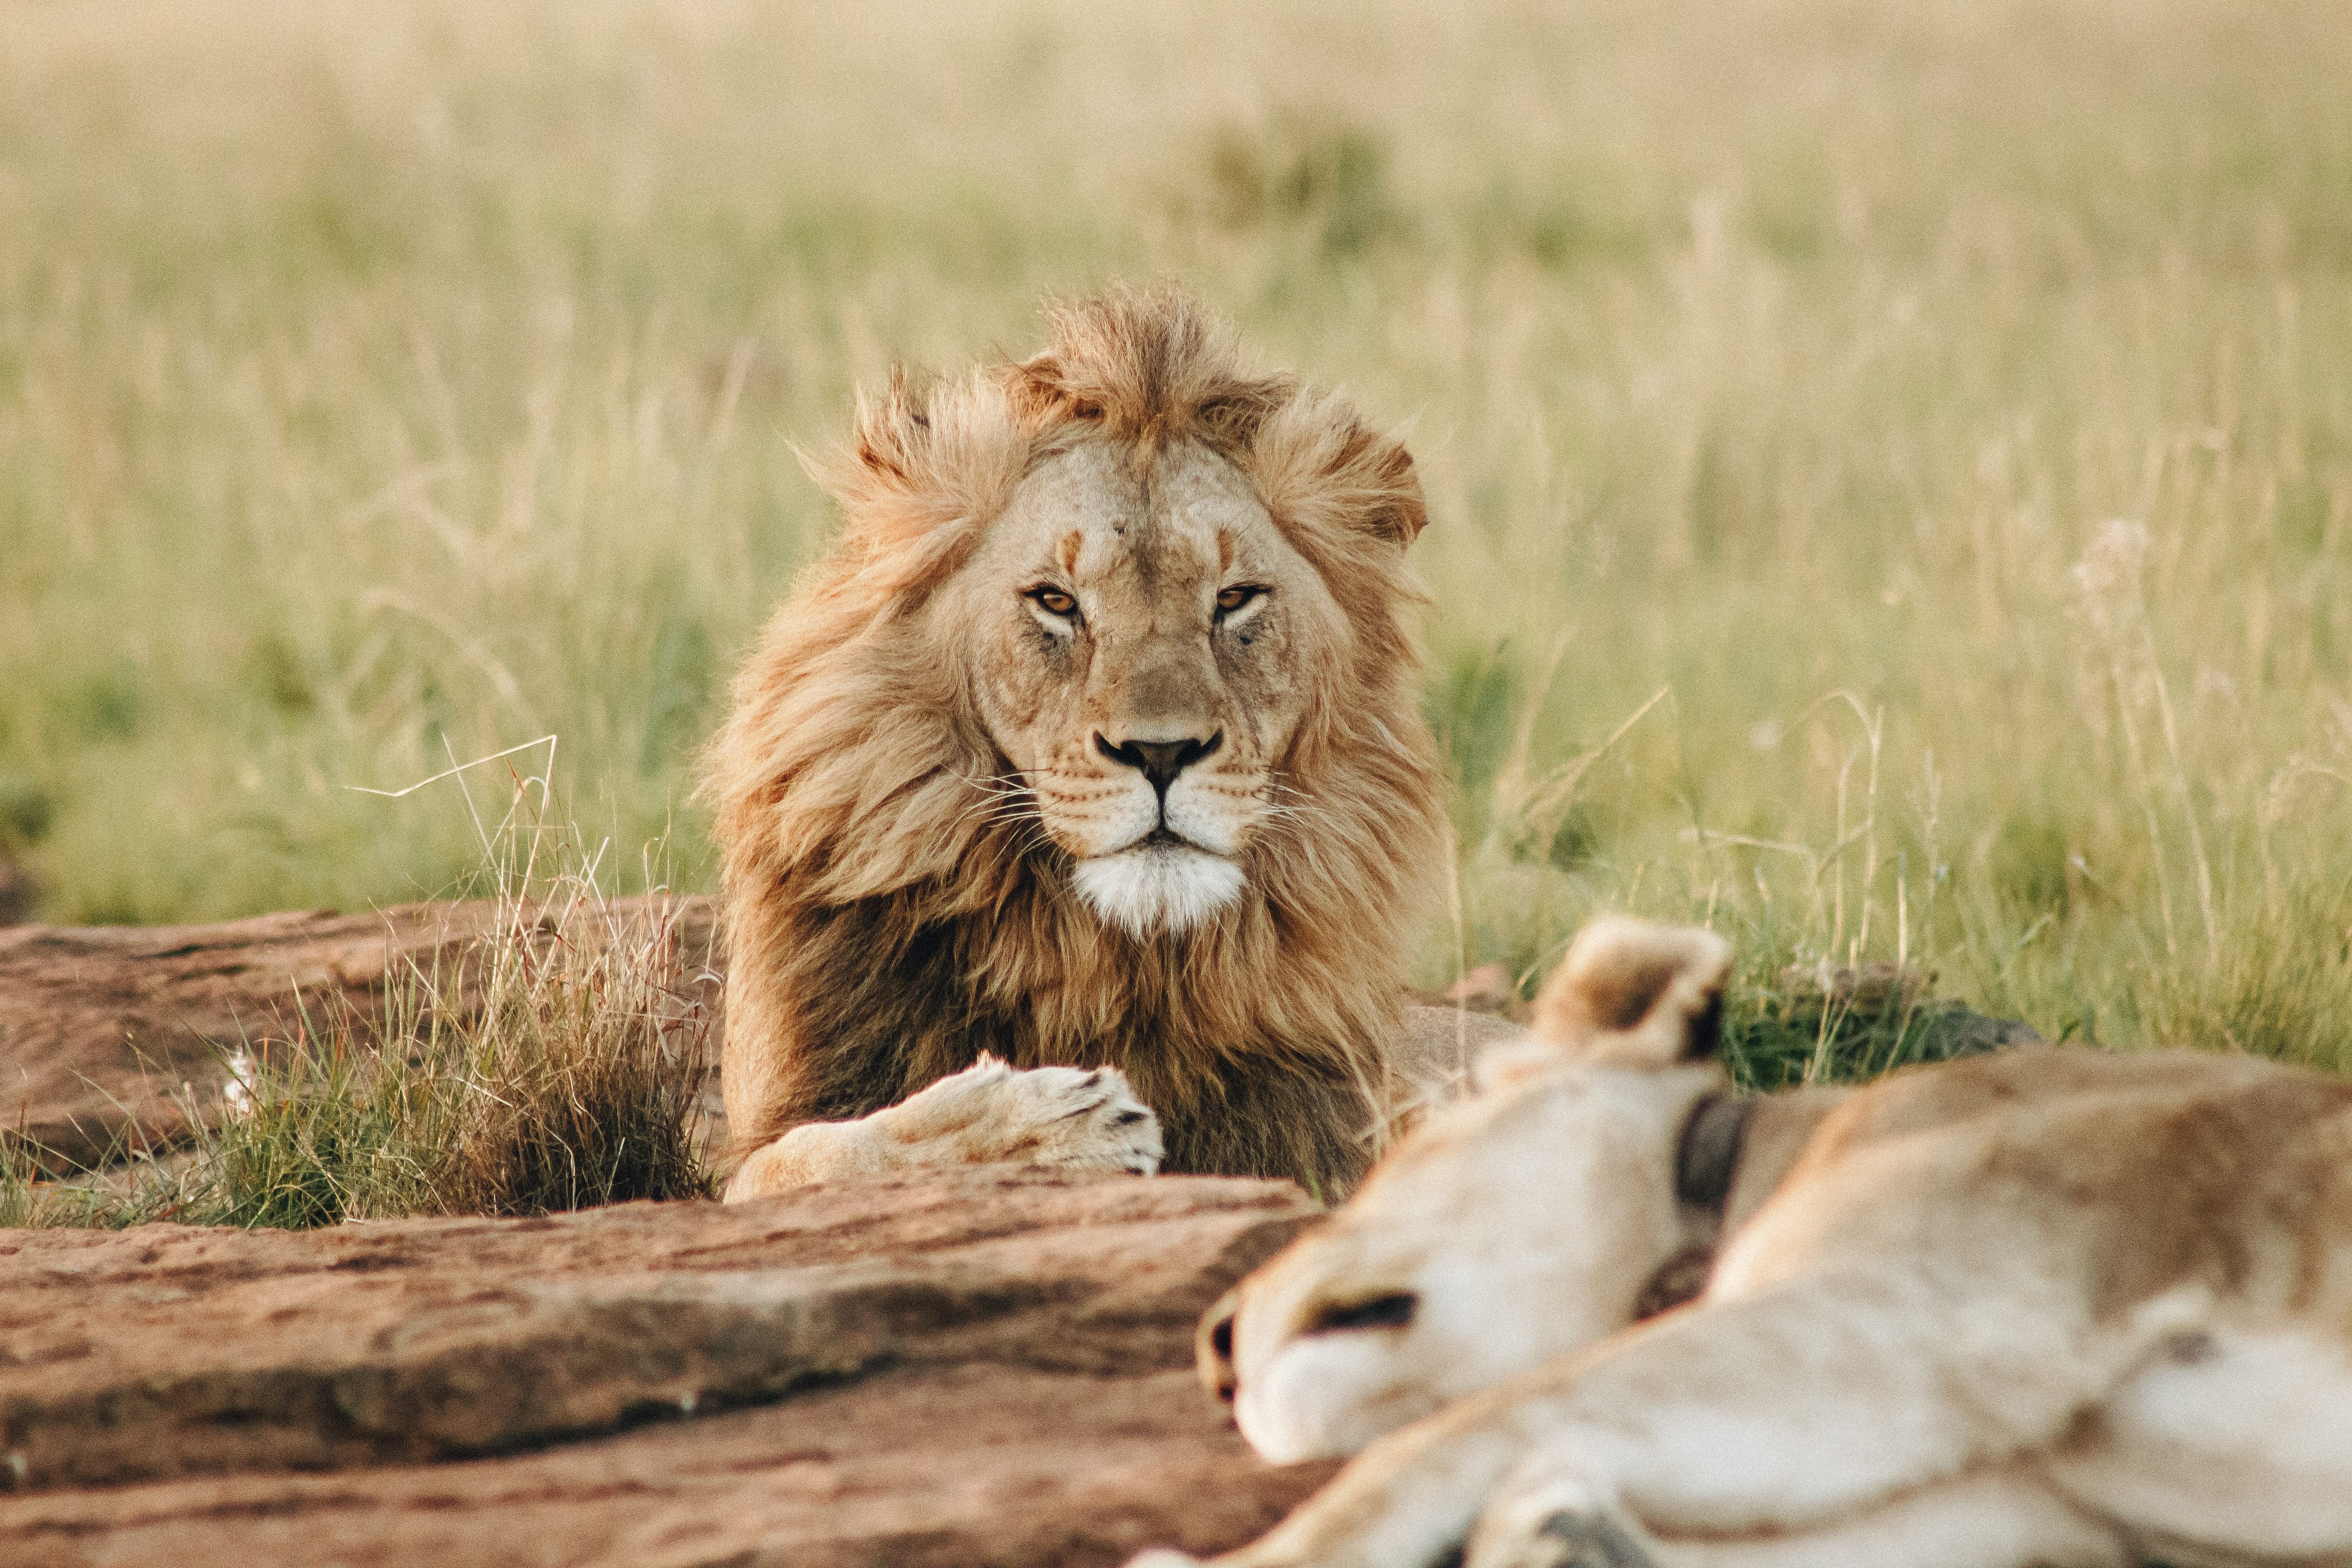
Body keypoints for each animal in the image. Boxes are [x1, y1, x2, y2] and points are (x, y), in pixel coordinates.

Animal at [706, 288, 1496, 1194]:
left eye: (1234, 599)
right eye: (1056, 601)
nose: (1160, 754)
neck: (1109, 965)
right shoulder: (764, 1140)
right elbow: (824, 1153)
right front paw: (1047, 1125)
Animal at [1152, 921, 2352, 1568]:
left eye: (1394, 1158)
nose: (1211, 1344)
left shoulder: (1932, 1303)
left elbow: (1443, 1437)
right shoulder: (2037, 1511)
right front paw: (1566, 1533)